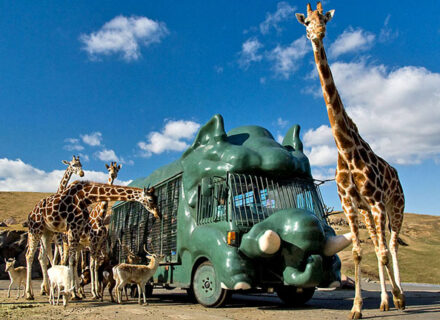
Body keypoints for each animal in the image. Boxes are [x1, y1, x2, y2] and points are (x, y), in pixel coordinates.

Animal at [24, 182, 161, 300]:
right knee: (30, 256)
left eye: (157, 198)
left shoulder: (81, 234)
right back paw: (29, 294)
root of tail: (31, 213)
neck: (87, 196)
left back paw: (48, 290)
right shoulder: (75, 230)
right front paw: (76, 294)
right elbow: (76, 262)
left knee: (44, 257)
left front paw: (83, 293)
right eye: (150, 200)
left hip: (47, 232)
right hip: (35, 230)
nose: (158, 214)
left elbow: (82, 263)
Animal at [296, 1, 406, 318]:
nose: (317, 34)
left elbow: (382, 251)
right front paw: (358, 307)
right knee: (381, 244)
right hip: (370, 211)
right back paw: (385, 299)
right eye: (306, 22)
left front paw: (395, 297)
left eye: (324, 19)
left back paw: (399, 296)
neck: (345, 148)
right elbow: (358, 252)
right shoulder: (349, 203)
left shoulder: (378, 202)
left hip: (395, 206)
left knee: (390, 245)